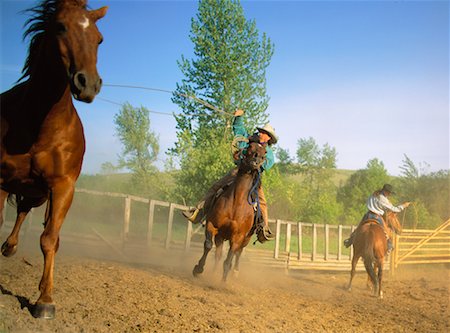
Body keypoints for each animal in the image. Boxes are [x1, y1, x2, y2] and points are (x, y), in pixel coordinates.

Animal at [0, 0, 107, 318]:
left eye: (99, 39)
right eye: (60, 27)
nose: (88, 83)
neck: (40, 124)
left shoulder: (62, 187)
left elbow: (49, 239)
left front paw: (45, 300)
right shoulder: (0, 179)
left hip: (37, 193)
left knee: (26, 213)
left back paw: (10, 247)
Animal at [192, 140, 268, 280]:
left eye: (265, 152)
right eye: (250, 146)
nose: (256, 161)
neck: (236, 203)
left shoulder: (238, 237)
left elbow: (228, 260)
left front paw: (222, 281)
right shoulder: (212, 225)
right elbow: (208, 245)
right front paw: (198, 269)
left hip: (245, 240)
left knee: (237, 254)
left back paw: (235, 272)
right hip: (221, 236)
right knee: (218, 253)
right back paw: (213, 272)